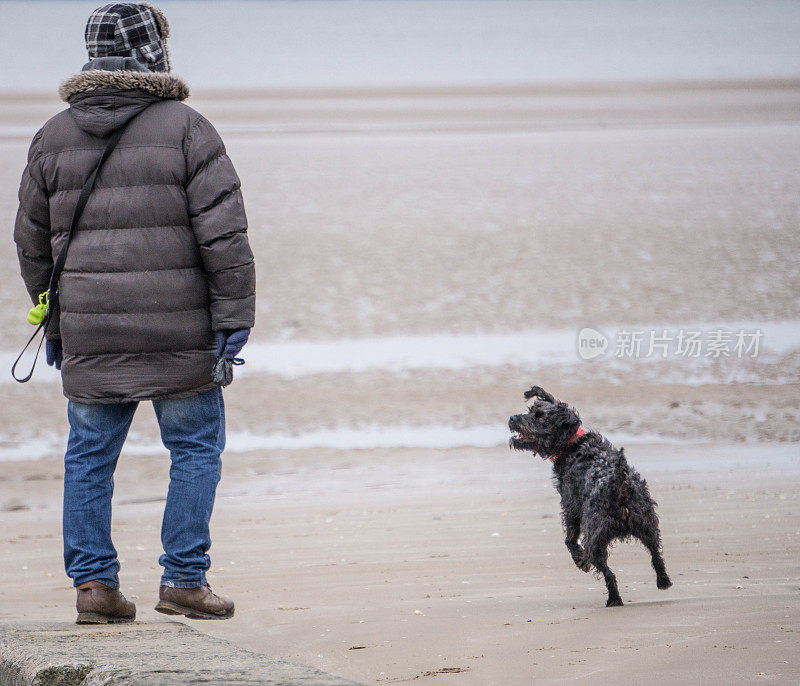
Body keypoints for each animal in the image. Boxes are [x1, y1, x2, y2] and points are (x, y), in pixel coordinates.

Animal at [510, 388, 672, 608]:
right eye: (530, 410)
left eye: (540, 416)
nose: (512, 419)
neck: (573, 444)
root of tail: (618, 485)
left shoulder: (570, 506)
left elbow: (569, 539)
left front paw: (578, 558)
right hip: (647, 523)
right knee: (656, 554)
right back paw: (663, 581)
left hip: (595, 534)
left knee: (606, 571)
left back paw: (610, 595)